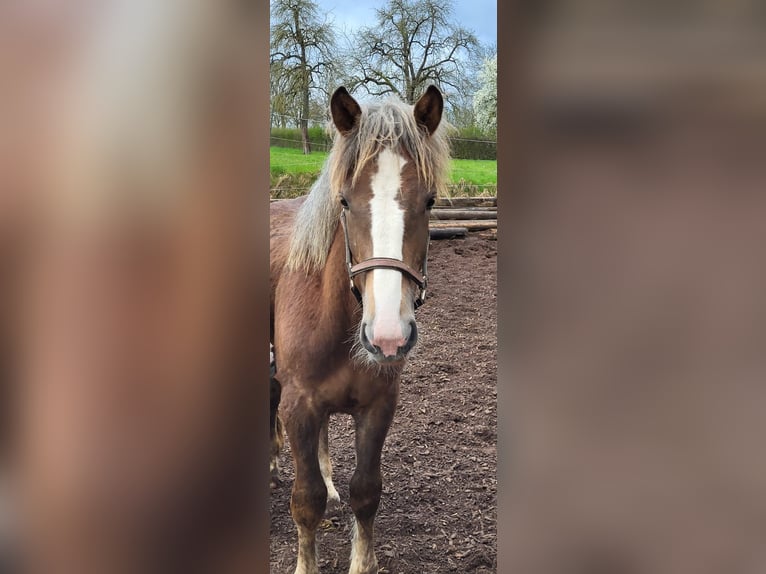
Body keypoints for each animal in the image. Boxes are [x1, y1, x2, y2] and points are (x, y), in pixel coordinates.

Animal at [272, 85, 452, 574]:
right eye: (345, 201)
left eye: (429, 201)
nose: (388, 335)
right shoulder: (297, 407)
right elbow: (306, 501)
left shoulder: (378, 406)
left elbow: (366, 492)